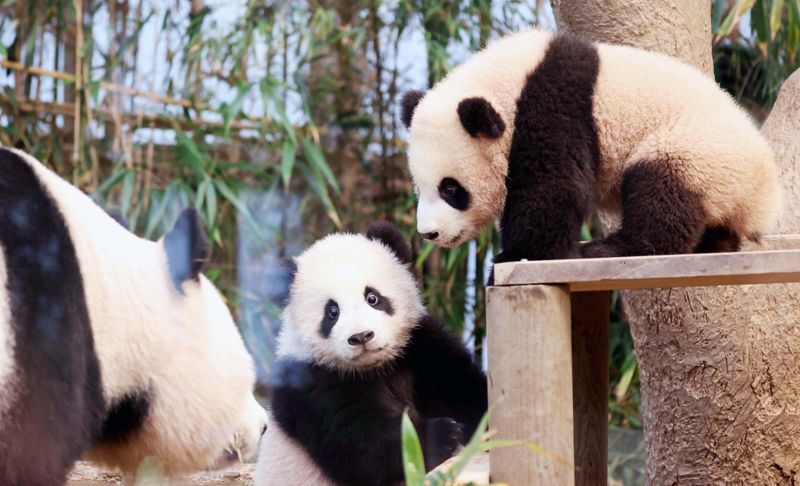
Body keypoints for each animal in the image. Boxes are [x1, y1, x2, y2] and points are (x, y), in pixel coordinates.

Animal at [256, 222, 488, 486]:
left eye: (373, 297)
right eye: (332, 312)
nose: (361, 336)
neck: (376, 367)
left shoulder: (417, 344)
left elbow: (459, 385)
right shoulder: (311, 383)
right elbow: (363, 448)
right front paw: (441, 435)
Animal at [404, 29, 780, 272]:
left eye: (451, 189)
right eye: (420, 189)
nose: (429, 233)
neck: (506, 82)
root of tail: (763, 195)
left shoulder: (553, 106)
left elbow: (553, 186)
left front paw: (519, 253)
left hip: (697, 149)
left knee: (662, 192)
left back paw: (611, 247)